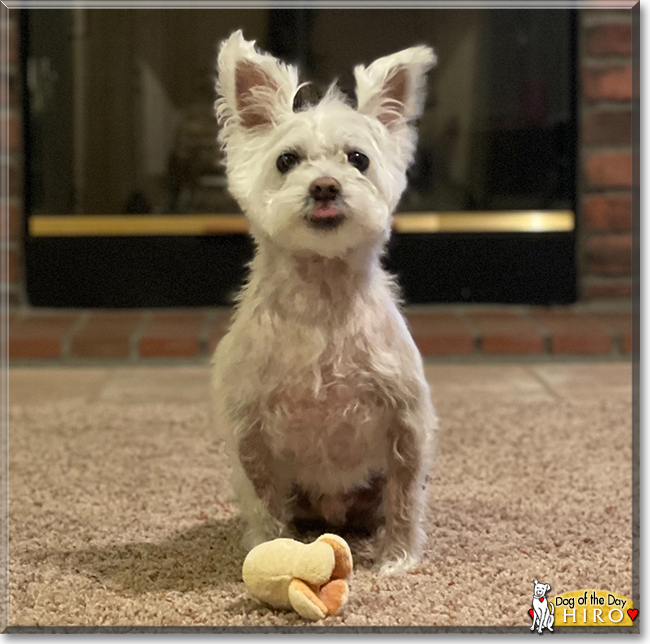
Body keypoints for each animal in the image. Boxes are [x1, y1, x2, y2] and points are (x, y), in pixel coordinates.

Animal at [210, 30, 438, 576]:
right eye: (286, 160)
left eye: (358, 159)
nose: (325, 187)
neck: (321, 292)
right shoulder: (250, 431)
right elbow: (264, 501)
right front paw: (269, 549)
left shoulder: (406, 423)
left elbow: (404, 497)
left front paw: (397, 558)